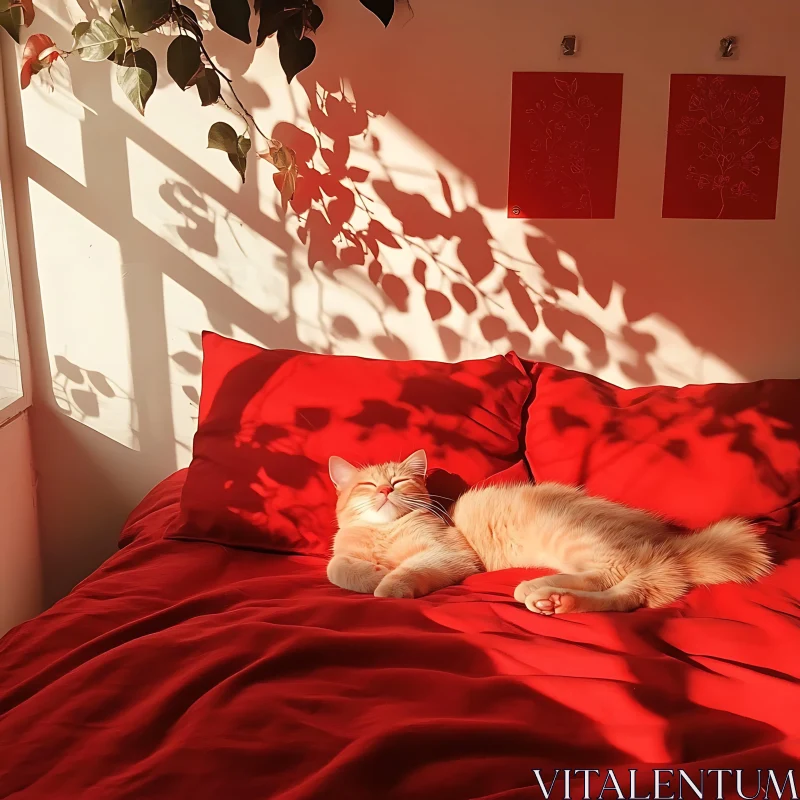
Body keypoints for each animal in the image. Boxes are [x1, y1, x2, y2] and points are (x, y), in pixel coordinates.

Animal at [326, 450, 776, 612]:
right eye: (367, 485)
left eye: (400, 482)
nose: (384, 490)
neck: (384, 534)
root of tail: (671, 541)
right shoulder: (342, 557)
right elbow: (339, 569)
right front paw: (373, 573)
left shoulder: (449, 553)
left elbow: (408, 569)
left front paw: (389, 583)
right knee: (635, 593)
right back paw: (557, 600)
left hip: (575, 539)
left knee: (629, 576)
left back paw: (541, 590)